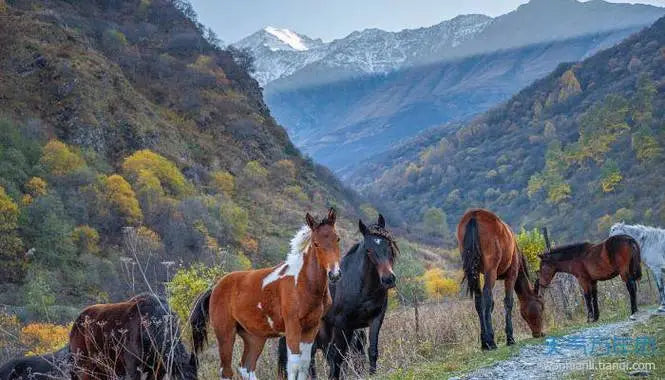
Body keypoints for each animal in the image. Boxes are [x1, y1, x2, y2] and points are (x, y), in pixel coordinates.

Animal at [189, 209, 340, 378]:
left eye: (337, 239)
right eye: (316, 243)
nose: (334, 274)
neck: (303, 283)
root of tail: (215, 288)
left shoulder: (311, 327)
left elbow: (303, 365)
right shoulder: (292, 326)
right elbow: (293, 365)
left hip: (254, 337)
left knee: (246, 367)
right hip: (225, 333)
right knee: (226, 371)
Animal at [276, 215, 396, 378]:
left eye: (389, 245)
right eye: (369, 250)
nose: (388, 279)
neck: (360, 288)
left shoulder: (375, 319)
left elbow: (371, 351)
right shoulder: (342, 325)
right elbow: (338, 358)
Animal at [456, 208, 544, 350]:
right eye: (541, 307)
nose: (540, 333)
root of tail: (474, 215)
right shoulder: (511, 275)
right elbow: (508, 302)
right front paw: (510, 338)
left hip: (475, 271)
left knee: (479, 301)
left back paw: (485, 343)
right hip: (490, 271)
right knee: (486, 297)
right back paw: (491, 341)